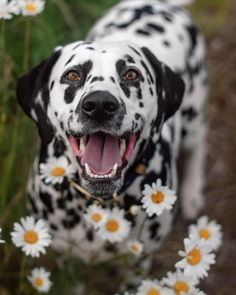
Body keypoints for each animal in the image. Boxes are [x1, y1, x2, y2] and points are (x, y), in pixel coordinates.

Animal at [16, 0, 207, 264]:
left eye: (131, 74)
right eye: (72, 74)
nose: (99, 105)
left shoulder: (138, 261)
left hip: (193, 116)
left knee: (197, 147)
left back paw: (192, 195)